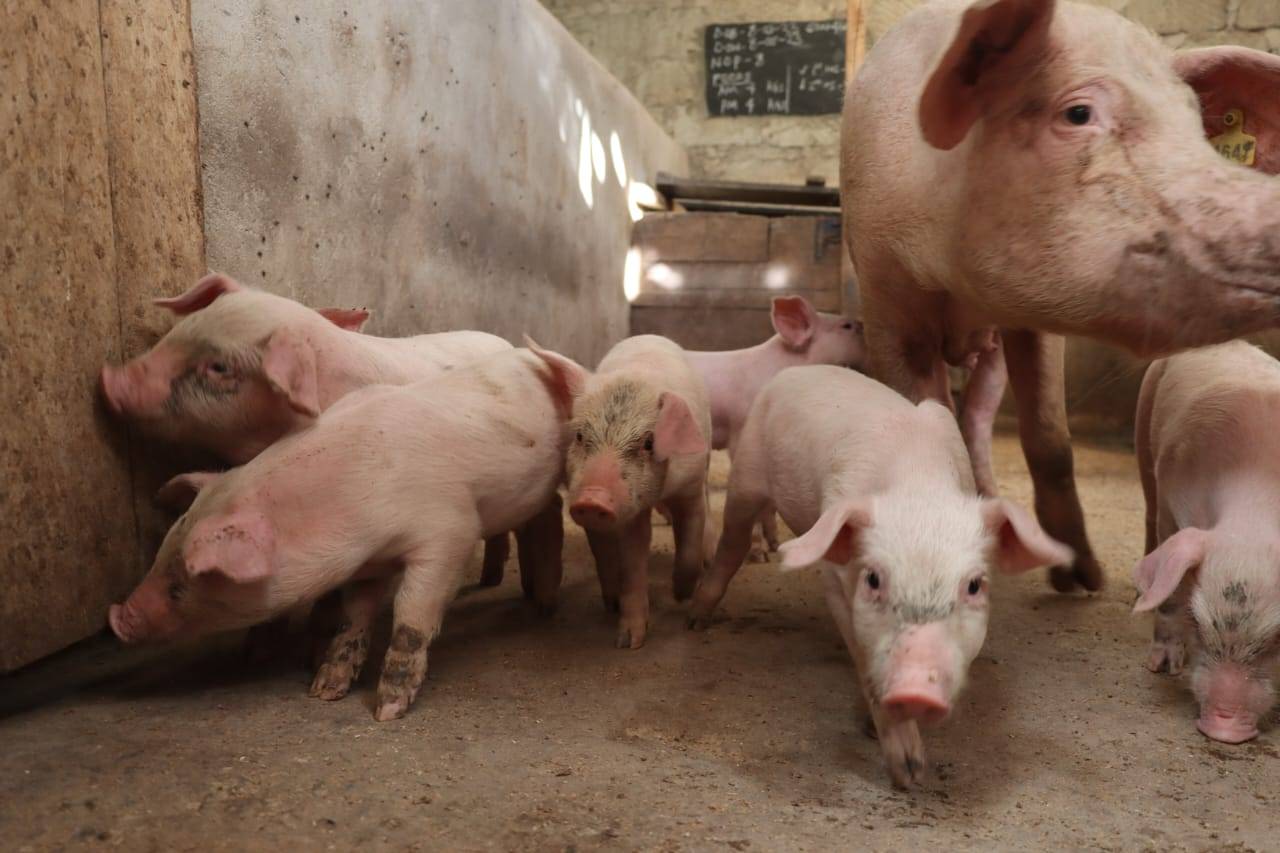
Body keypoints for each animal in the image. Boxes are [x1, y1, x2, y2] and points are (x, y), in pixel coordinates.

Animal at [108, 346, 578, 722]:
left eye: (181, 585)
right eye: (159, 557)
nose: (118, 618)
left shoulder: (449, 532)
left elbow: (412, 613)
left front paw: (387, 712)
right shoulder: (370, 563)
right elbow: (354, 617)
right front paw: (325, 690)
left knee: (550, 518)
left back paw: (543, 607)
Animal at [529, 335, 711, 649]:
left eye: (648, 443)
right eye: (579, 436)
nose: (593, 500)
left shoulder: (692, 487)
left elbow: (690, 546)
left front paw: (682, 595)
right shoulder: (628, 513)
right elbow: (631, 562)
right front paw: (627, 643)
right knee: (604, 552)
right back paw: (611, 602)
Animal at [688, 366, 1071, 786]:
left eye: (973, 585)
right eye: (873, 579)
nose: (916, 690)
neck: (918, 492)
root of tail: (795, 370)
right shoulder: (836, 577)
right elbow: (860, 651)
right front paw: (909, 772)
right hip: (748, 470)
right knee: (732, 540)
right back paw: (697, 619)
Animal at [843, 0, 1280, 595]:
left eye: (1194, 123)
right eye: (1077, 113)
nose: (1274, 214)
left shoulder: (1033, 318)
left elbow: (1049, 438)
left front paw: (1083, 581)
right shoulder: (885, 290)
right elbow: (920, 411)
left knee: (979, 415)